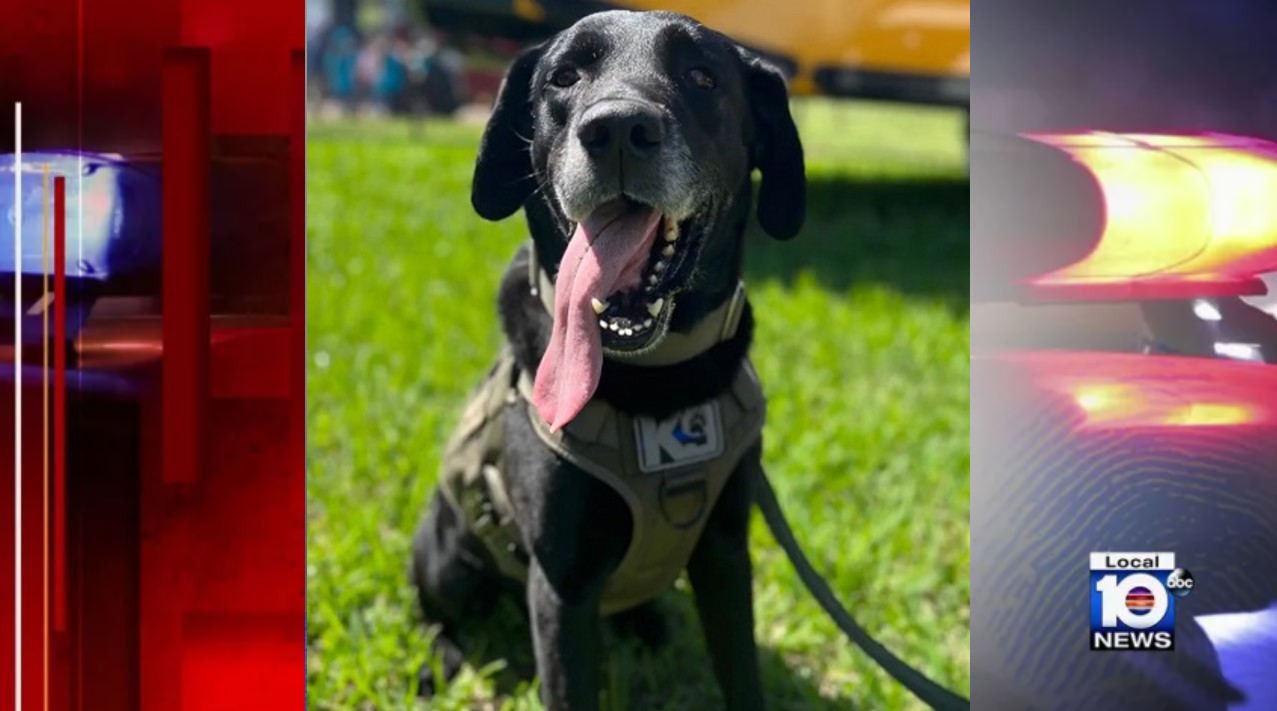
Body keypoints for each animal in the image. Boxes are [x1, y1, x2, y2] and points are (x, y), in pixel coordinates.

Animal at [413, 8, 801, 704]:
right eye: (565, 76)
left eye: (702, 76)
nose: (618, 128)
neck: (656, 379)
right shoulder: (562, 588)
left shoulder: (726, 551)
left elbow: (740, 674)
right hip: (445, 552)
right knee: (431, 609)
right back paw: (442, 660)